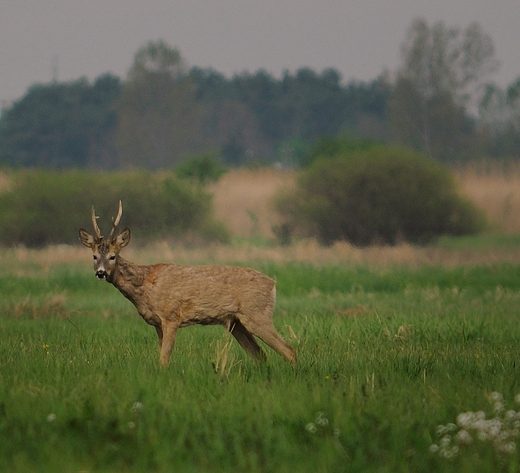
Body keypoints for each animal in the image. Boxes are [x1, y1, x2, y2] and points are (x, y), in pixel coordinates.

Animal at [77, 201, 296, 366]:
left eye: (112, 256)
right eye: (94, 256)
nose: (100, 272)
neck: (145, 285)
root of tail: (273, 284)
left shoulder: (171, 316)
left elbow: (164, 359)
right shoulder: (157, 323)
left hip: (257, 313)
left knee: (289, 350)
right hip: (237, 323)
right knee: (260, 355)